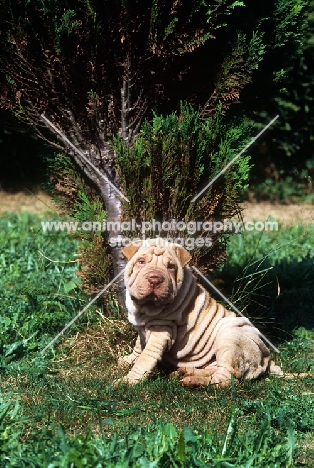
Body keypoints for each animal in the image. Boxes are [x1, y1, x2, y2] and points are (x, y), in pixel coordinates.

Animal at [118, 239, 282, 386]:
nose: (154, 279)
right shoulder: (142, 327)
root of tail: (266, 357)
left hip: (229, 338)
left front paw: (127, 381)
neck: (145, 307)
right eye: (141, 261)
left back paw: (193, 381)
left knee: (225, 379)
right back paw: (186, 372)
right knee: (214, 370)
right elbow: (139, 346)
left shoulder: (161, 330)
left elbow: (146, 357)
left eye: (170, 266)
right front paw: (127, 360)